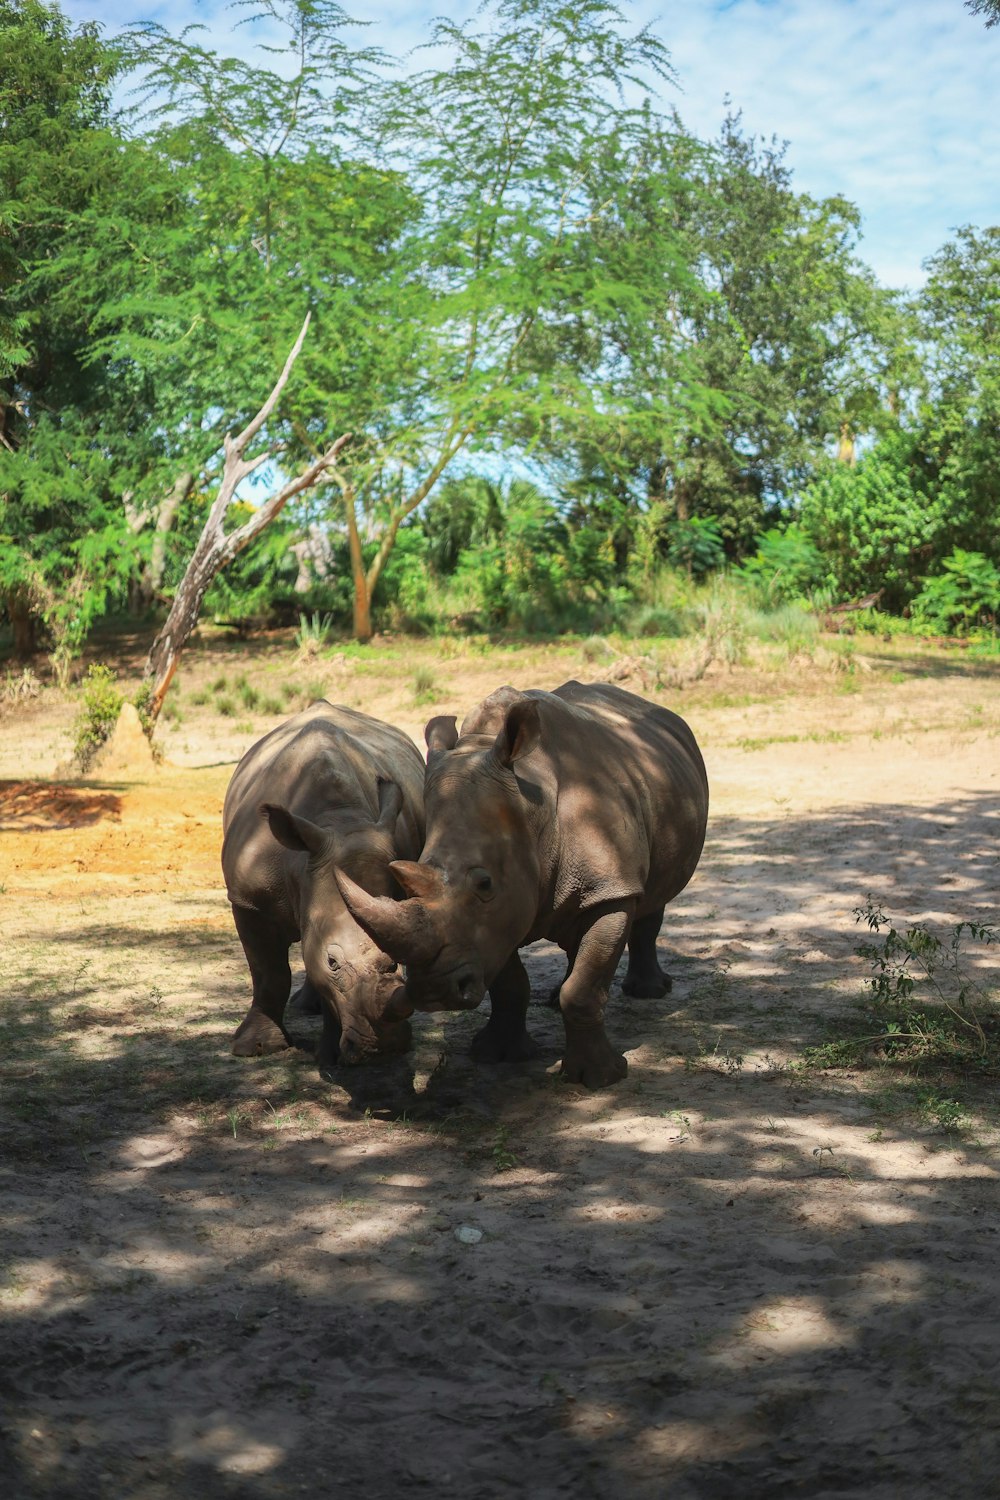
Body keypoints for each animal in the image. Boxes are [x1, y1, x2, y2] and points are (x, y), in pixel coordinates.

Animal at [220, 699, 425, 1068]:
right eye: (333, 962)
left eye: (394, 962)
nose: (386, 1048)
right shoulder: (247, 900)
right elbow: (268, 973)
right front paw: (254, 1048)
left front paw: (331, 1058)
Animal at [338, 684, 710, 1092]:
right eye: (405, 882)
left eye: (485, 884)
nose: (433, 993)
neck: (534, 809)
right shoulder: (501, 916)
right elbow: (510, 983)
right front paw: (497, 1055)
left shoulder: (612, 889)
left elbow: (584, 988)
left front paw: (600, 1079)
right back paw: (555, 997)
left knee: (653, 898)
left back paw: (649, 992)